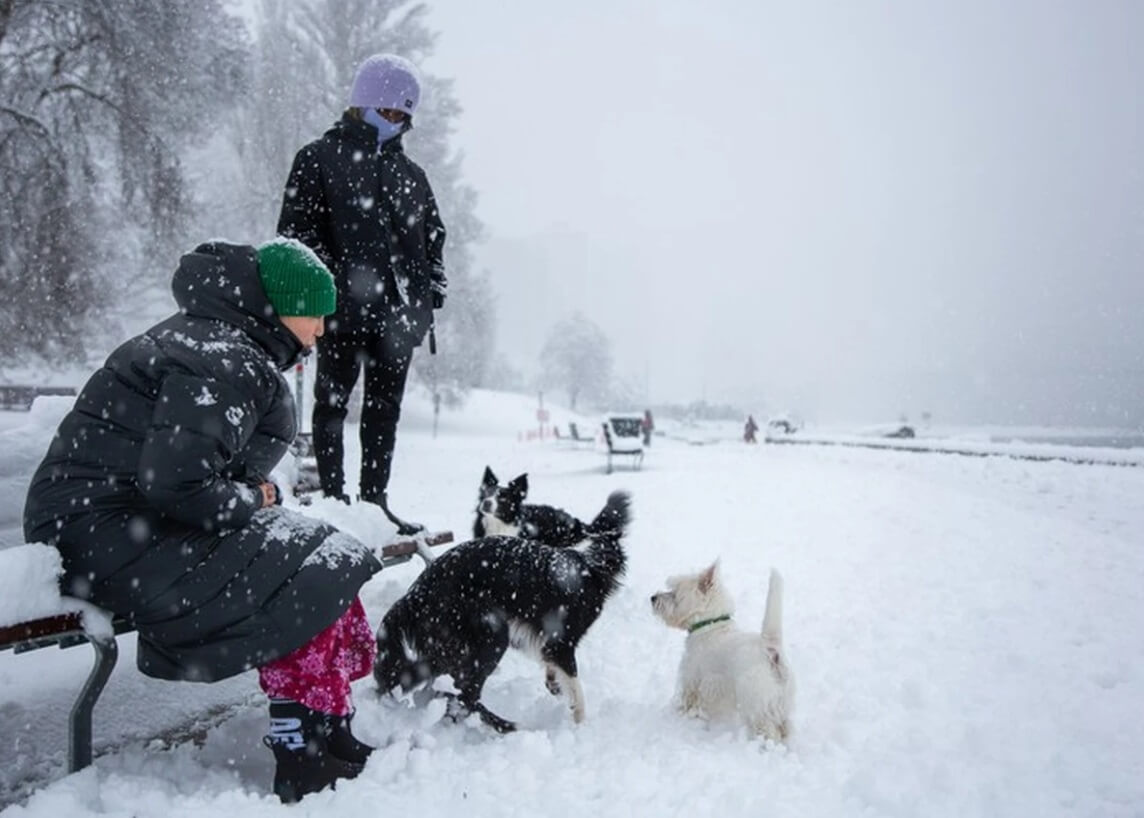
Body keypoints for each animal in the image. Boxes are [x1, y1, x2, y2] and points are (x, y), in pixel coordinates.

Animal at [375, 489, 631, 732]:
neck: (588, 561)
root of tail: (413, 596)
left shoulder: (550, 641)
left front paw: (554, 685)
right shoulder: (563, 641)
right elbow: (577, 689)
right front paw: (580, 724)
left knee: (428, 682)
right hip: (490, 635)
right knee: (463, 695)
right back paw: (503, 726)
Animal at [654, 562, 796, 741]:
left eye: (674, 593)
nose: (653, 598)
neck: (710, 624)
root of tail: (770, 648)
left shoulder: (692, 677)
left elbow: (689, 700)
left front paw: (683, 715)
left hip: (757, 701)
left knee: (767, 729)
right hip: (783, 703)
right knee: (785, 728)